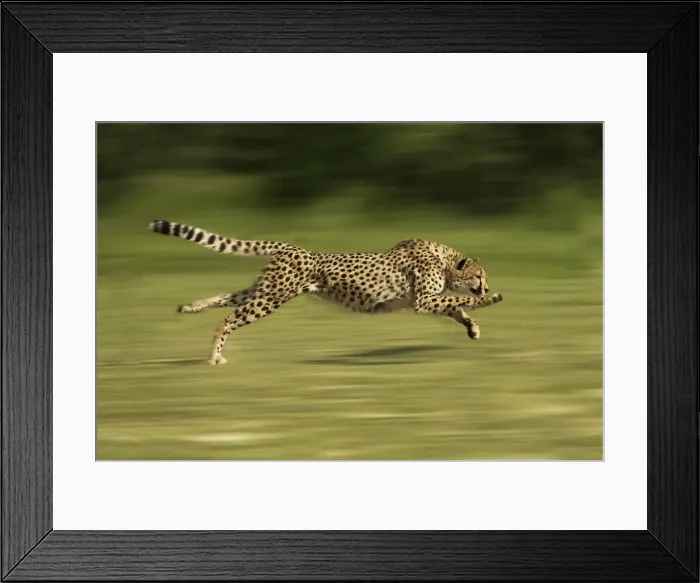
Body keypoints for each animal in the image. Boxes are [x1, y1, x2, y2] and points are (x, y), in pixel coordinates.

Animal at [149, 220, 504, 365]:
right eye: (479, 276)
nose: (487, 285)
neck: (445, 261)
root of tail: (291, 246)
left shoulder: (428, 301)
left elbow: (457, 308)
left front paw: (472, 328)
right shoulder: (424, 300)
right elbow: (462, 299)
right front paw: (490, 299)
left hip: (264, 291)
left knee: (226, 299)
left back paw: (190, 307)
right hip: (270, 298)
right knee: (226, 320)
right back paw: (213, 356)